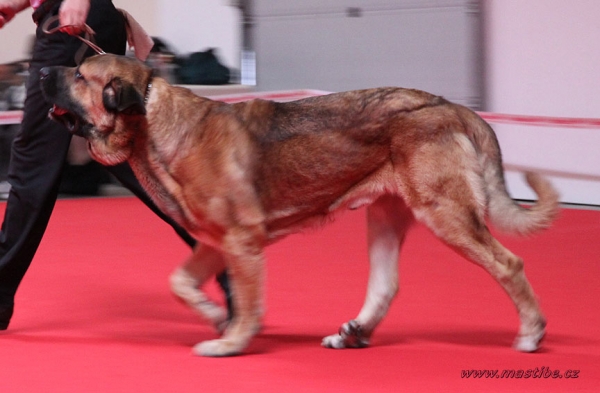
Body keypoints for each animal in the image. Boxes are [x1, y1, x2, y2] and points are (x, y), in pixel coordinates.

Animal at [39, 53, 560, 356]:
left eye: (80, 75)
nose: (40, 69)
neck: (151, 120)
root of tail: (455, 108)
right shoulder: (214, 242)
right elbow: (180, 282)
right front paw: (214, 316)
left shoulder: (242, 242)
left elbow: (249, 299)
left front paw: (232, 340)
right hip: (387, 216)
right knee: (385, 284)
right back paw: (354, 333)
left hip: (446, 214)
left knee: (508, 264)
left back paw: (531, 333)